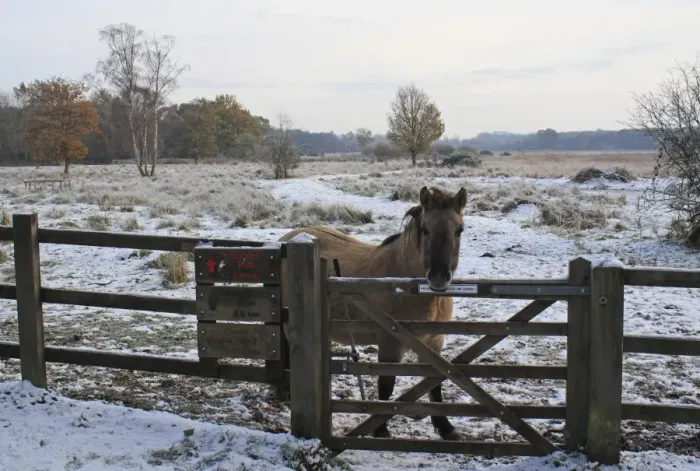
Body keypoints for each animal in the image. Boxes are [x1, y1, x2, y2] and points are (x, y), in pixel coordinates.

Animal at [278, 185, 468, 441]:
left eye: (459, 229)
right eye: (425, 229)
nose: (438, 277)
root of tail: (289, 239)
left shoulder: (433, 342)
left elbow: (434, 383)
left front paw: (445, 427)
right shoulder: (390, 343)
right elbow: (386, 385)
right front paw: (380, 429)